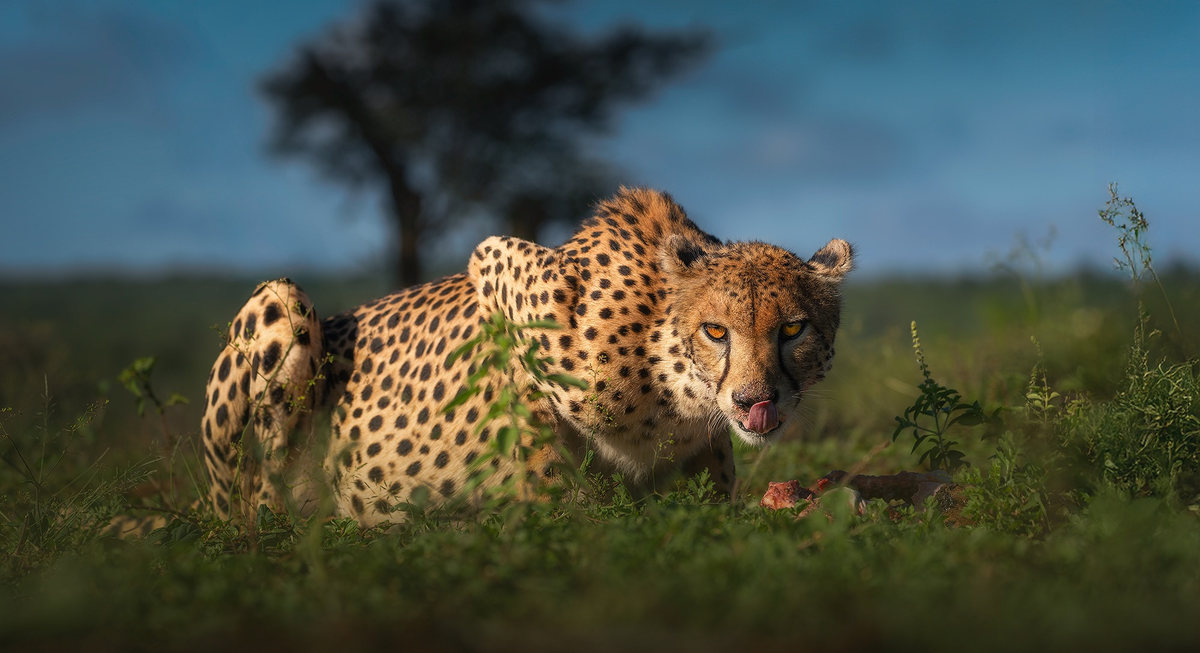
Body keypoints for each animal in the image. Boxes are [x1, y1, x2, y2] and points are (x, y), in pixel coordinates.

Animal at [196, 187, 852, 527]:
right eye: (716, 331)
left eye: (792, 328)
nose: (755, 399)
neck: (672, 386)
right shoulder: (496, 268)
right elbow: (544, 458)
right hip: (279, 305)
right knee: (254, 499)